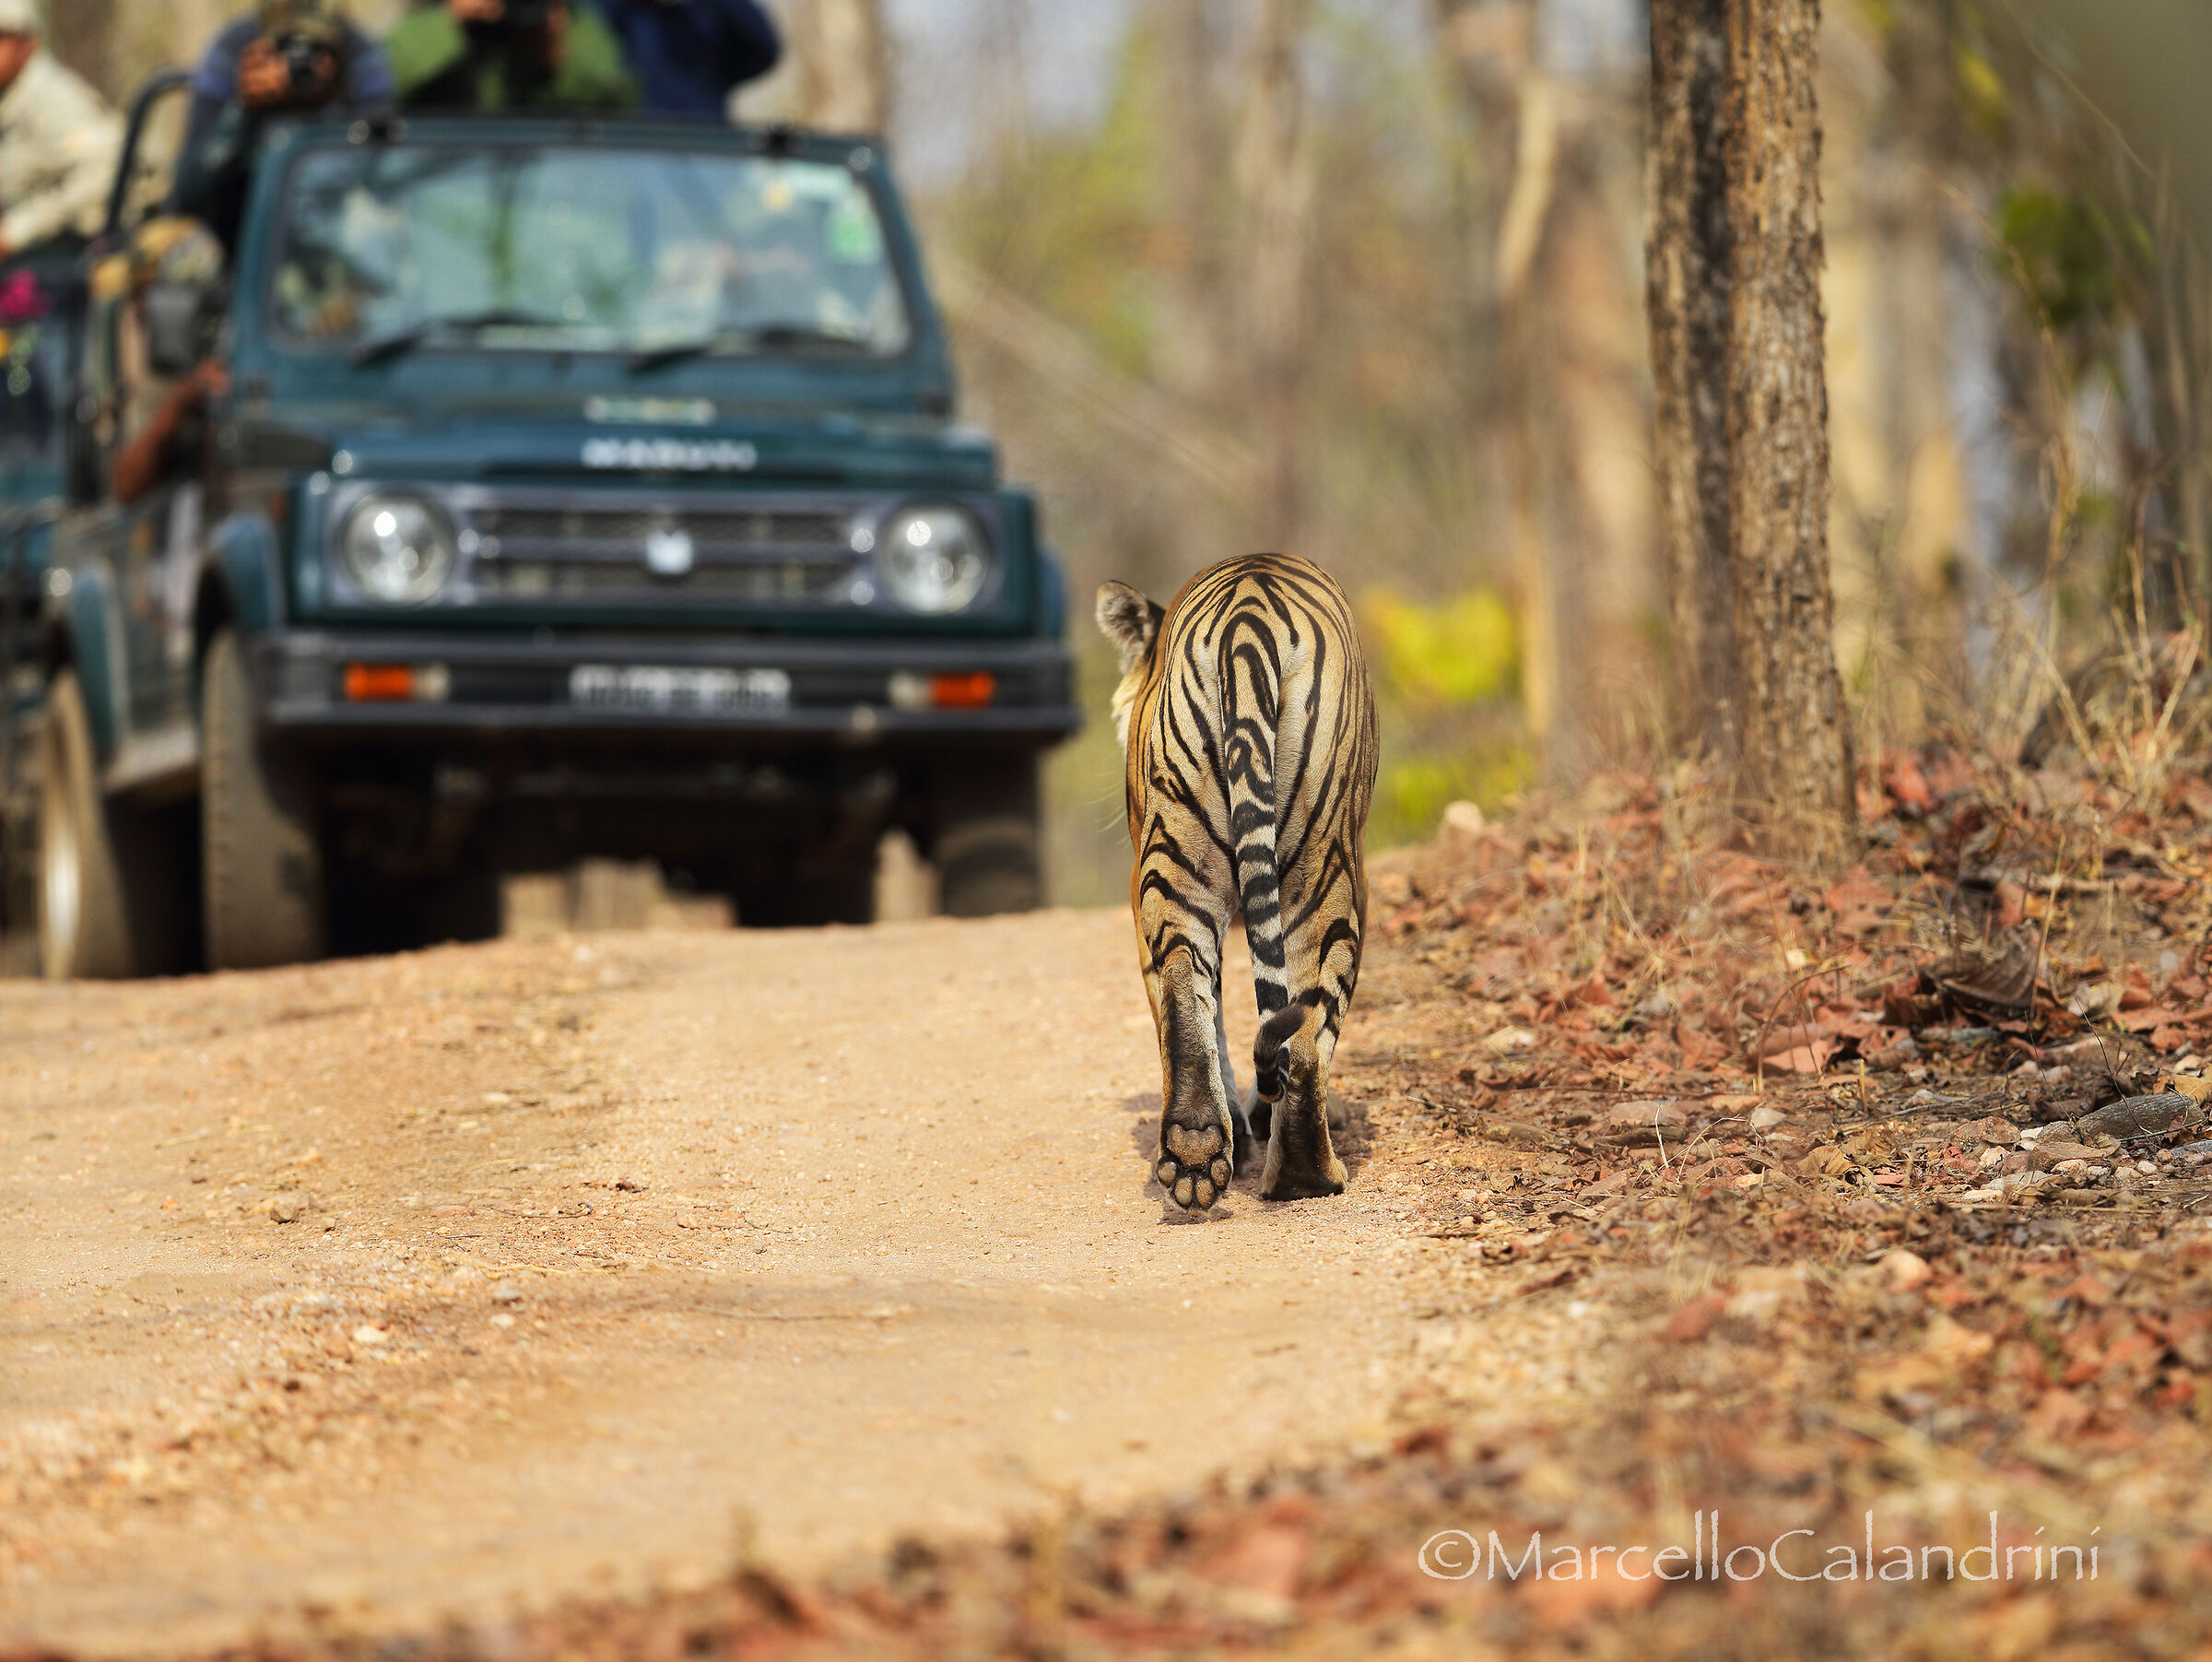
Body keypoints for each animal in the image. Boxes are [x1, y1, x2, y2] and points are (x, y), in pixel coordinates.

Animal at [1096, 551, 1378, 1215]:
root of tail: (1249, 617)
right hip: (1319, 867)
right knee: (1293, 1023)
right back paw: (1301, 1172)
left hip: (1187, 861)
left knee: (1189, 987)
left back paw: (1203, 1157)